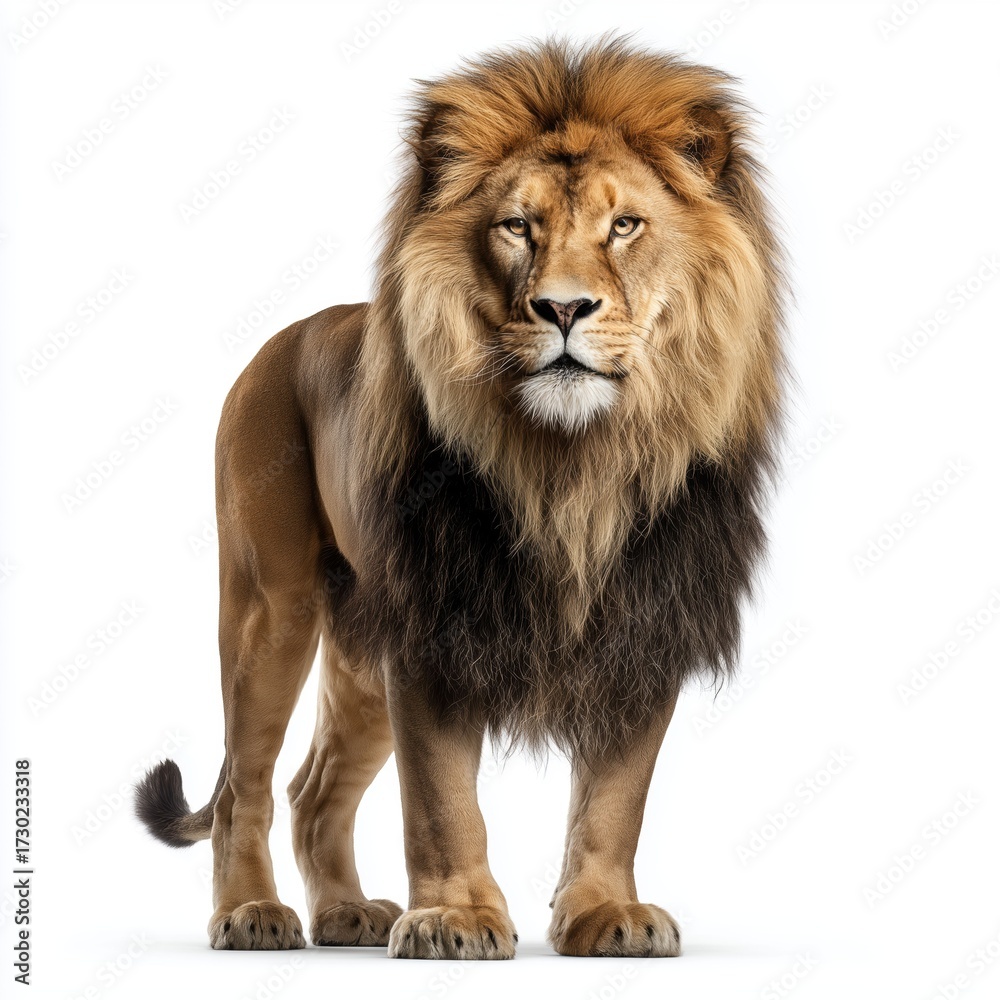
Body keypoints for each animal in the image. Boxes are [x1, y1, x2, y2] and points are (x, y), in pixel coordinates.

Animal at [135, 37, 786, 959]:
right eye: (517, 227)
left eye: (625, 226)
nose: (563, 307)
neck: (573, 468)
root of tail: (285, 337)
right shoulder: (434, 624)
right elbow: (441, 799)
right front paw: (456, 918)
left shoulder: (644, 623)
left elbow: (615, 799)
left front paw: (605, 914)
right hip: (271, 606)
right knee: (244, 787)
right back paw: (252, 913)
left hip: (359, 647)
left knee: (313, 791)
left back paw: (347, 913)